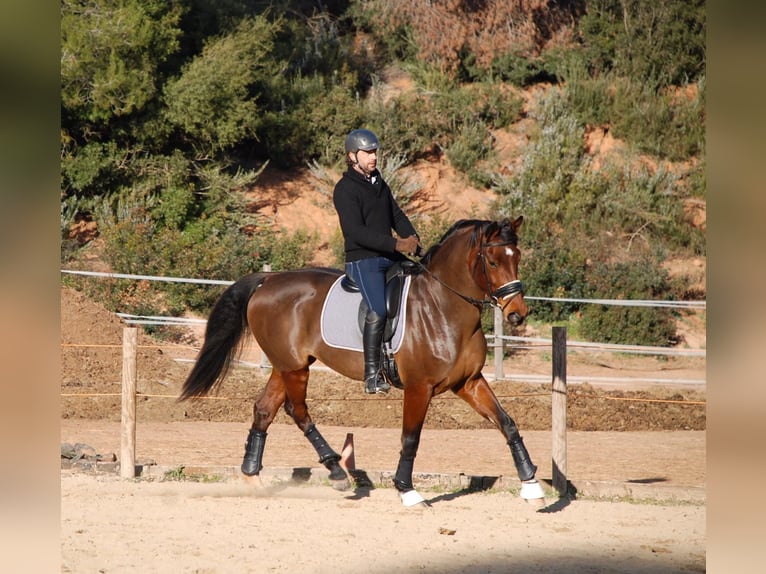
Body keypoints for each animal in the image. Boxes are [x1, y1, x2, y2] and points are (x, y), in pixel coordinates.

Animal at [179, 217, 544, 506]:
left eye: (517, 257)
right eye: (493, 262)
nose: (517, 314)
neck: (443, 306)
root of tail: (268, 280)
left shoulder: (468, 382)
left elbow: (507, 423)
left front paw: (531, 483)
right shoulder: (419, 388)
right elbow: (410, 438)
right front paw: (407, 490)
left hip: (286, 365)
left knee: (264, 409)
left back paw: (253, 478)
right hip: (294, 368)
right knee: (298, 411)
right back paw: (336, 470)